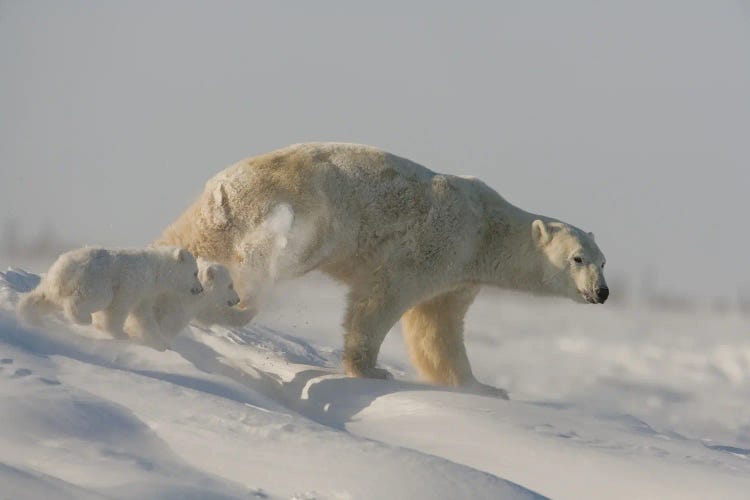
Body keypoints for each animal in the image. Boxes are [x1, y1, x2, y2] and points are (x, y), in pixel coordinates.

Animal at [17, 246, 204, 340]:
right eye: (195, 272)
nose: (200, 289)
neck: (155, 271)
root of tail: (64, 268)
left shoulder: (145, 293)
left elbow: (142, 315)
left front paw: (159, 341)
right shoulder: (132, 284)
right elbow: (118, 309)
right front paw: (120, 334)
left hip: (53, 283)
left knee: (42, 298)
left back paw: (29, 315)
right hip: (94, 282)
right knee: (91, 300)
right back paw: (83, 318)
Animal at [160, 143, 612, 396]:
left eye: (604, 261)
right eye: (578, 258)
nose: (602, 292)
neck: (486, 227)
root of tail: (223, 180)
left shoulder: (460, 274)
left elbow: (437, 326)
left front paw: (482, 387)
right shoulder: (437, 243)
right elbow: (383, 297)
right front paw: (372, 371)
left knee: (188, 236)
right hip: (283, 211)